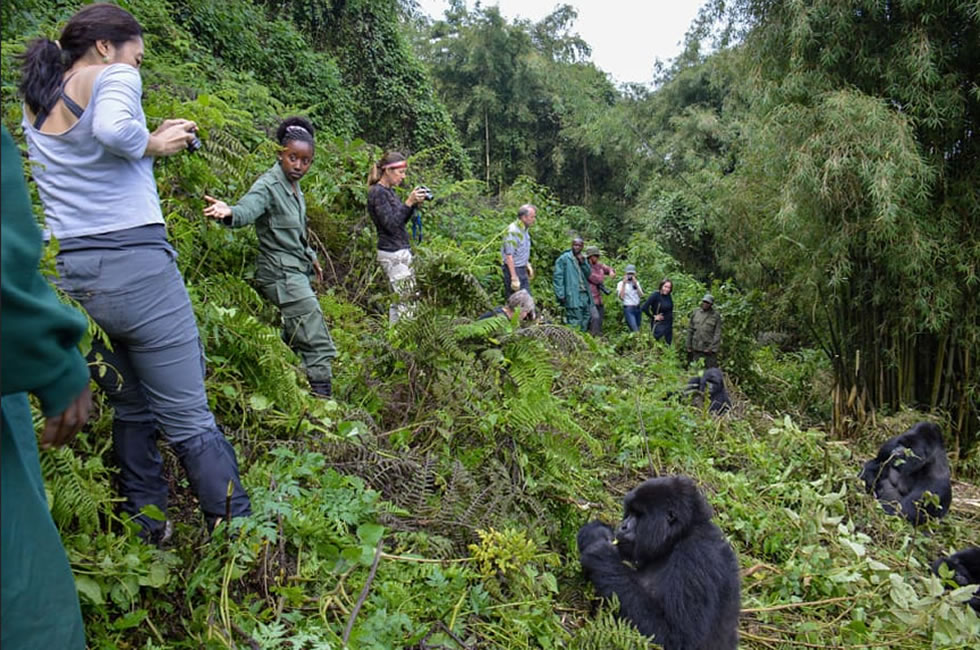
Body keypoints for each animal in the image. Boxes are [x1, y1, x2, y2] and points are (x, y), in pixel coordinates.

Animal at [580, 470, 740, 648]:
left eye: (639, 515)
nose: (622, 526)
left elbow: (679, 638)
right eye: (629, 512)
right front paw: (595, 533)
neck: (677, 537)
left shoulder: (697, 555)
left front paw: (602, 555)